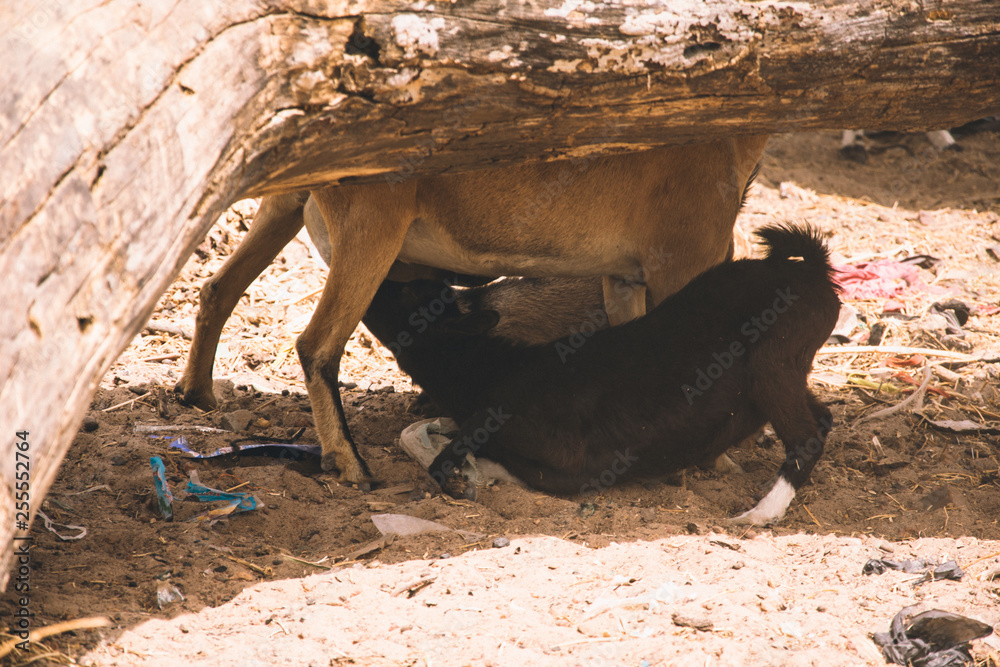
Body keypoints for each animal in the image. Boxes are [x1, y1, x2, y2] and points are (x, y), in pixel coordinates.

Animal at [175, 136, 768, 486]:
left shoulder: (624, 277)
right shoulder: (683, 260)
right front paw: (713, 460)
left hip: (287, 206)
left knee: (217, 290)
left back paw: (196, 393)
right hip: (371, 226)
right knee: (316, 344)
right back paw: (350, 463)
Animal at [365, 224, 840, 525]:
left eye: (411, 293)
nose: (375, 283)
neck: (491, 369)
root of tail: (810, 269)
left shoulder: (567, 466)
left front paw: (463, 474)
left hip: (774, 366)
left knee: (806, 436)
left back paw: (760, 514)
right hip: (789, 373)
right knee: (823, 417)